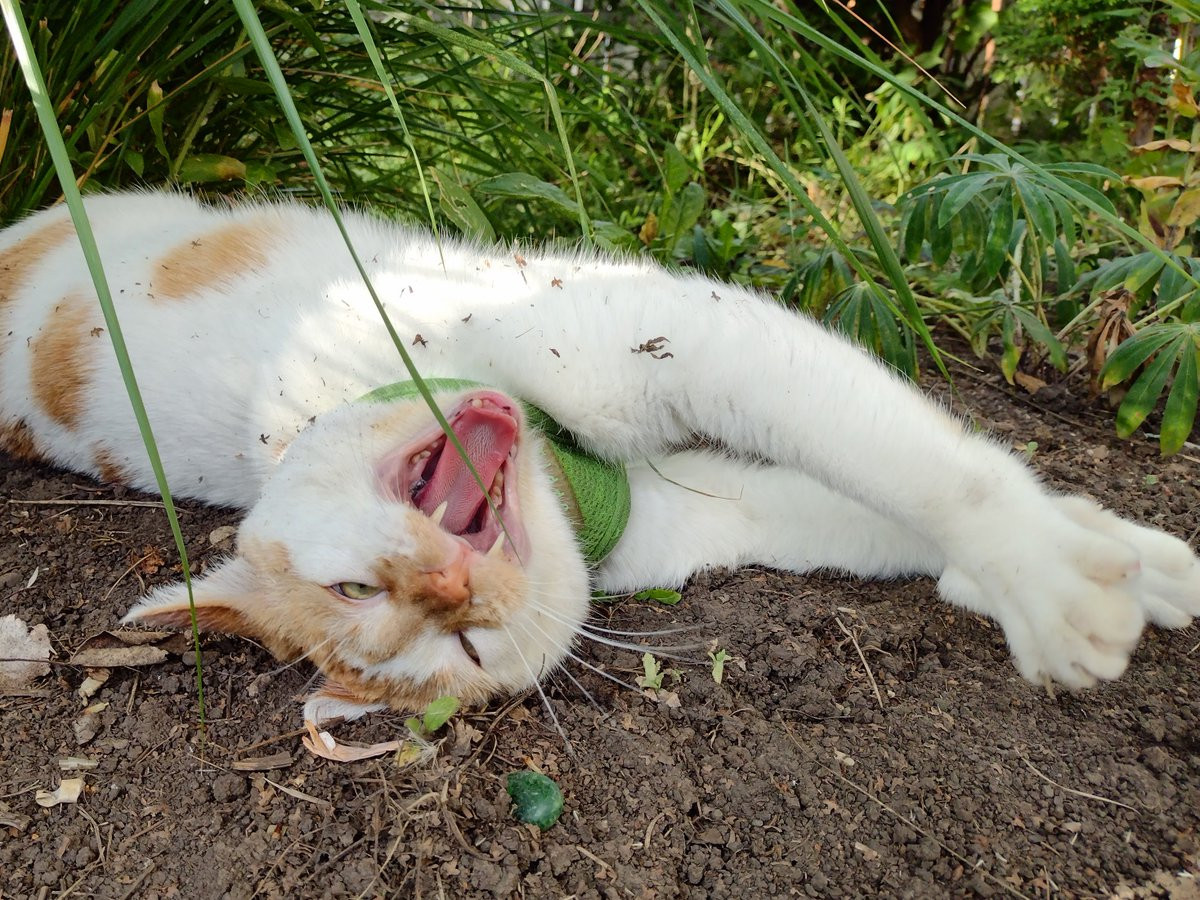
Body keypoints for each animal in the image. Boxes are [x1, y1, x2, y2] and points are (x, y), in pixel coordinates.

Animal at [1, 191, 1197, 725]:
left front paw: (1065, 565)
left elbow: (914, 459)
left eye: (351, 587)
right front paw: (1096, 567)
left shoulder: (673, 332)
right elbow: (867, 509)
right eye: (462, 652)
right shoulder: (719, 508)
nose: (451, 583)